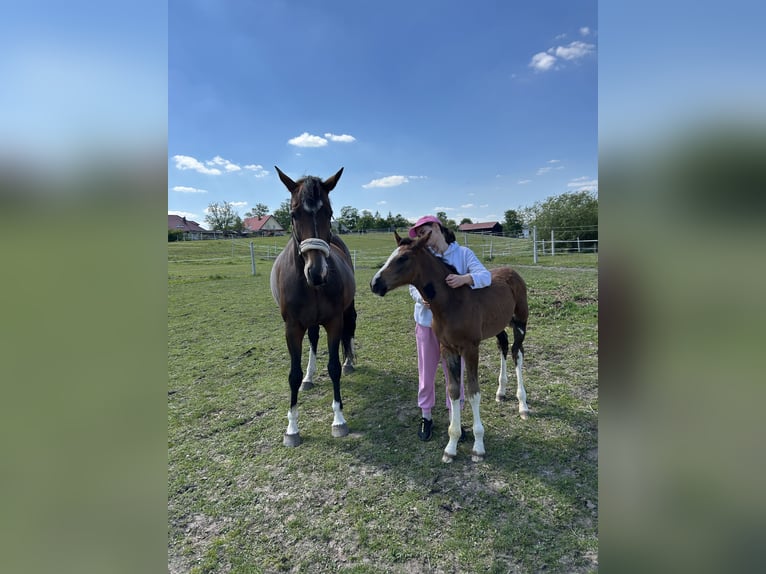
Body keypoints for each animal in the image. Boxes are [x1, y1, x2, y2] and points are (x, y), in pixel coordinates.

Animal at [269, 166, 357, 447]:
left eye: (328, 212)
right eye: (293, 214)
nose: (317, 272)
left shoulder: (334, 320)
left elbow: (333, 368)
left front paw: (338, 420)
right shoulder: (292, 327)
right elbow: (293, 375)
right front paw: (292, 428)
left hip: (346, 312)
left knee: (348, 333)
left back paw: (348, 362)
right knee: (314, 341)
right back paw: (309, 377)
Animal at [370, 232, 529, 462]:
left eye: (403, 258)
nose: (375, 283)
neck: (452, 302)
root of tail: (513, 272)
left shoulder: (471, 348)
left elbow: (472, 391)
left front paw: (478, 447)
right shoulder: (448, 349)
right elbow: (453, 391)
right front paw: (451, 445)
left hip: (520, 322)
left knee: (518, 352)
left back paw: (523, 404)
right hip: (499, 325)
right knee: (504, 346)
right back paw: (500, 391)